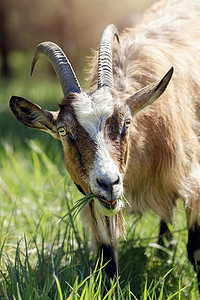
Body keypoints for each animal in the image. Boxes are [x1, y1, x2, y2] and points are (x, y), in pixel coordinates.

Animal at [9, 0, 200, 290]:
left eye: (127, 123)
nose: (109, 183)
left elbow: (195, 250)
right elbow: (107, 261)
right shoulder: (95, 202)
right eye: (64, 131)